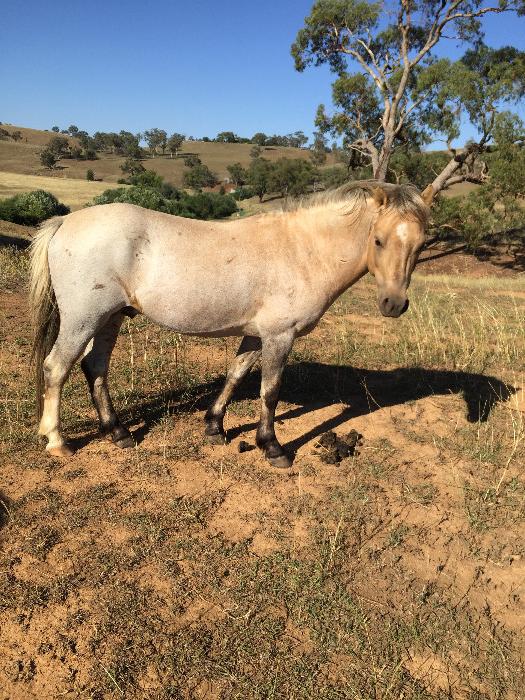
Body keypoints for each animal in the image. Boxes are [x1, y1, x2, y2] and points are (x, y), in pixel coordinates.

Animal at [29, 180, 433, 467]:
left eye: (421, 245)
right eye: (378, 240)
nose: (394, 304)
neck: (303, 250)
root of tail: (65, 221)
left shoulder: (256, 336)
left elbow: (235, 375)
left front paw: (214, 427)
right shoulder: (280, 336)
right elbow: (270, 392)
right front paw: (272, 447)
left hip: (109, 318)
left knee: (95, 367)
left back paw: (117, 432)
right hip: (84, 319)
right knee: (56, 368)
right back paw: (58, 441)